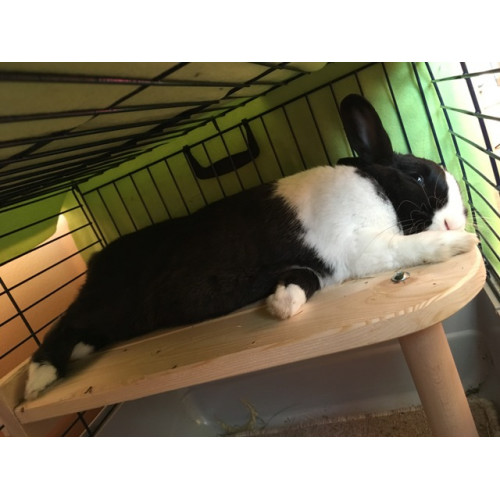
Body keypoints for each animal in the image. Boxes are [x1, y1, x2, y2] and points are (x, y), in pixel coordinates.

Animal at [24, 94, 478, 401]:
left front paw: (281, 305)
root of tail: (95, 262)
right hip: (109, 303)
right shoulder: (365, 248)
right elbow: (412, 247)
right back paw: (37, 383)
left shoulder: (319, 266)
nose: (458, 220)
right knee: (60, 329)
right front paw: (460, 242)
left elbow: (303, 278)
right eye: (418, 178)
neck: (377, 190)